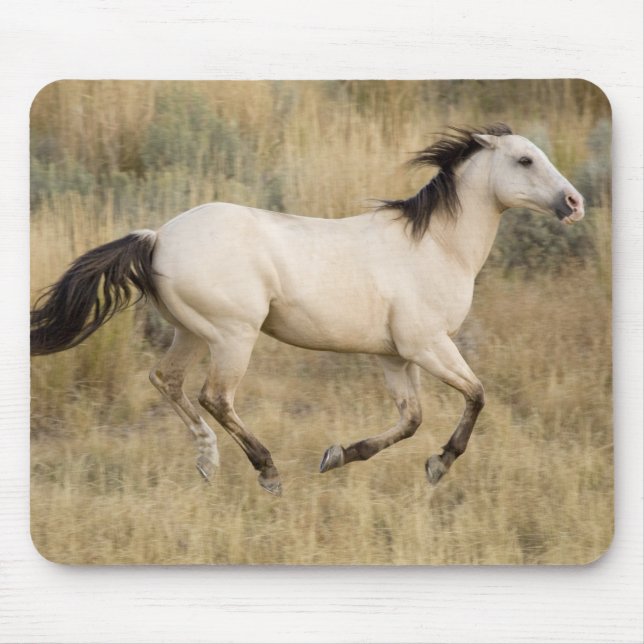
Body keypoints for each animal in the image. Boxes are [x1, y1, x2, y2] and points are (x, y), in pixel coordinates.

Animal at [30, 124, 585, 496]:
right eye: (525, 160)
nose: (574, 203)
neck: (437, 245)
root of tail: (158, 237)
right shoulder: (427, 344)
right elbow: (476, 395)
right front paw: (439, 465)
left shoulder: (394, 356)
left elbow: (411, 419)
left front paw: (338, 455)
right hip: (233, 335)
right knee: (215, 396)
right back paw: (268, 472)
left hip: (190, 332)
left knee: (166, 381)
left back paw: (208, 462)